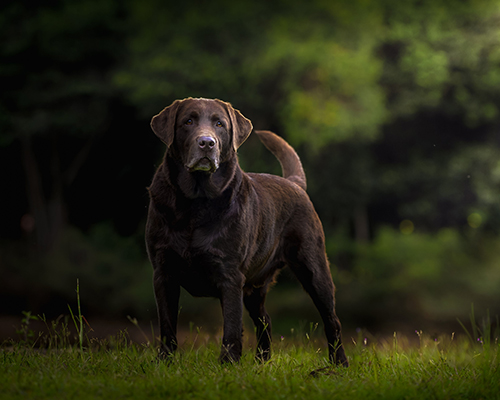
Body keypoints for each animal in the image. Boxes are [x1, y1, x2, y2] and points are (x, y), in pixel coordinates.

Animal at [145, 97, 348, 366]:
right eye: (188, 121)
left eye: (219, 124)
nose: (207, 143)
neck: (196, 202)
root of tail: (294, 183)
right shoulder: (163, 272)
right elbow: (167, 325)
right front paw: (164, 362)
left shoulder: (230, 275)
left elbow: (231, 327)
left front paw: (228, 364)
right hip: (254, 288)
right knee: (266, 321)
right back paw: (262, 362)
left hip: (314, 270)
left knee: (332, 320)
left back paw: (340, 363)